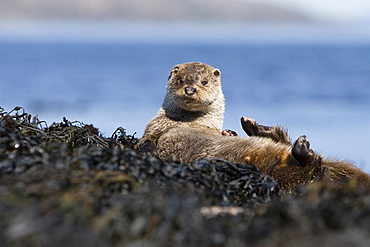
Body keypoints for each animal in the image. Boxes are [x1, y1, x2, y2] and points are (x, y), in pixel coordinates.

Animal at [139, 62, 370, 191]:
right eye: (179, 80)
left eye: (204, 82)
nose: (189, 88)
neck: (191, 121)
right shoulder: (155, 126)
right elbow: (147, 139)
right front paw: (148, 149)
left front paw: (229, 132)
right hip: (277, 171)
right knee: (310, 171)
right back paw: (302, 150)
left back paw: (255, 127)